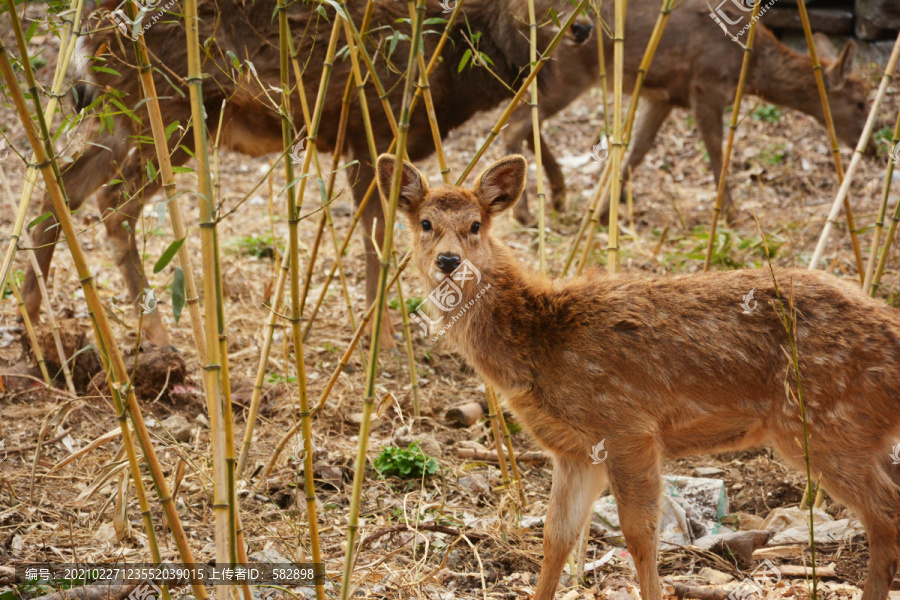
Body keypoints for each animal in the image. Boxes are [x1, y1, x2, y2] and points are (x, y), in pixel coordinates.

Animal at [21, 0, 584, 346]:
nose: (581, 27)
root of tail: (87, 25)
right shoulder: (374, 119)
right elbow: (377, 232)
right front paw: (380, 336)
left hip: (124, 110)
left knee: (63, 187)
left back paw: (33, 321)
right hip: (173, 106)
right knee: (111, 204)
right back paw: (159, 335)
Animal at [378, 151, 900, 600]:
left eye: (475, 225)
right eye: (425, 223)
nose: (449, 261)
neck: (541, 342)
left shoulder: (627, 426)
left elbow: (639, 534)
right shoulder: (575, 451)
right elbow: (557, 535)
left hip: (829, 425)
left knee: (885, 513)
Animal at [502, 0, 868, 224]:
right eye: (862, 103)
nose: (872, 148)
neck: (749, 67)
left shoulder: (664, 97)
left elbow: (638, 150)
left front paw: (604, 213)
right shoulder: (705, 86)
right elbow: (717, 151)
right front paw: (730, 214)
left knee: (525, 118)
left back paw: (558, 196)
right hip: (570, 74)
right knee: (514, 124)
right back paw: (524, 213)